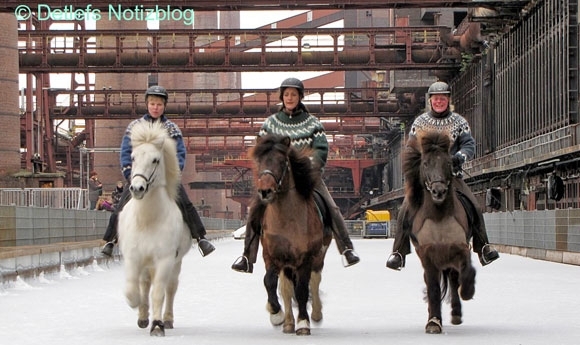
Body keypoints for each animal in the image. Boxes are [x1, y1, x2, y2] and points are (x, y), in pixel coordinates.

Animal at [118, 119, 193, 334]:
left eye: (155, 160)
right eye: (133, 157)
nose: (137, 188)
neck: (148, 220)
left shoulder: (165, 259)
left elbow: (159, 292)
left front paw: (157, 325)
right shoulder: (133, 257)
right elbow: (132, 288)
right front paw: (137, 305)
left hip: (176, 263)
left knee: (170, 288)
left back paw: (166, 320)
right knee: (144, 284)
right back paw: (143, 317)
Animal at [249, 135, 330, 336]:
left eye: (281, 161)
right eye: (259, 161)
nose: (265, 191)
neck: (287, 220)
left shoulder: (305, 258)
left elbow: (302, 289)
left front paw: (303, 323)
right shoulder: (271, 255)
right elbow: (270, 282)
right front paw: (276, 314)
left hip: (318, 256)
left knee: (315, 281)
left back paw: (316, 314)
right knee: (286, 288)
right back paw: (287, 323)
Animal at [406, 130, 478, 334]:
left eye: (448, 162)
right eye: (425, 163)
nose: (438, 191)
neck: (439, 216)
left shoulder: (461, 248)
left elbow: (466, 272)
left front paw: (468, 291)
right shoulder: (427, 256)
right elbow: (433, 289)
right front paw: (433, 322)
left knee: (454, 280)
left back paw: (456, 313)